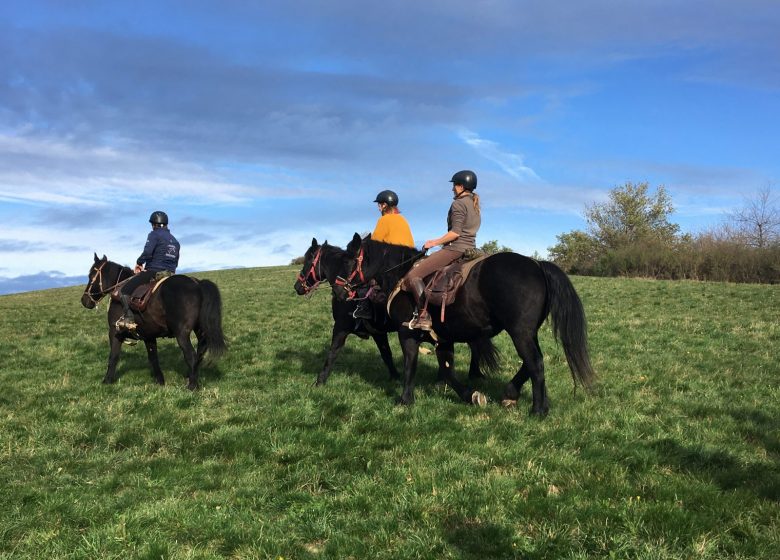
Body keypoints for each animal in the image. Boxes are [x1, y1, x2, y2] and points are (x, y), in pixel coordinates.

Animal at [80, 254, 227, 390]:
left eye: (91, 275)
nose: (84, 300)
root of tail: (197, 284)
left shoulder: (114, 332)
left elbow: (113, 356)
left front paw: (107, 380)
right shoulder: (148, 335)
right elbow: (153, 358)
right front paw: (160, 381)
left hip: (182, 333)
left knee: (191, 355)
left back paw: (192, 386)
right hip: (199, 330)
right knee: (200, 352)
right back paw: (190, 376)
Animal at [292, 238, 494, 392]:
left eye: (308, 261)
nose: (297, 287)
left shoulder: (341, 328)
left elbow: (332, 353)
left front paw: (320, 380)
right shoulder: (378, 332)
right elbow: (386, 354)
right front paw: (395, 376)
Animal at [342, 233, 596, 416]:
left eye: (349, 258)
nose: (343, 285)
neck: (402, 274)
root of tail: (537, 265)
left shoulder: (407, 333)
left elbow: (410, 365)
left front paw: (405, 399)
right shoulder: (443, 338)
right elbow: (447, 371)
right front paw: (470, 395)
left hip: (520, 333)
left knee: (535, 363)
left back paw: (537, 410)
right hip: (527, 332)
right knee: (531, 362)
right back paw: (512, 394)